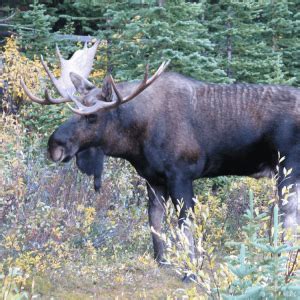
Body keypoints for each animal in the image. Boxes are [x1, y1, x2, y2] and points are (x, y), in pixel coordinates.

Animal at [21, 41, 300, 276]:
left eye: (92, 116)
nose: (54, 145)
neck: (137, 138)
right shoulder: (152, 178)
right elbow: (154, 222)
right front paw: (161, 261)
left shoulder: (181, 174)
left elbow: (184, 225)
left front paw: (191, 271)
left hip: (288, 169)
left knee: (290, 218)